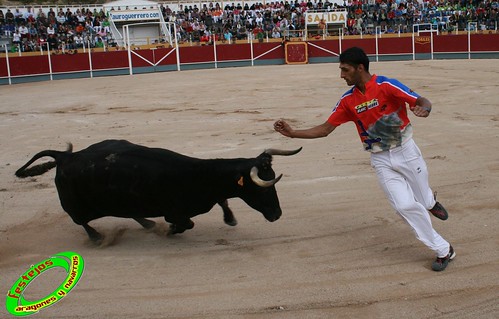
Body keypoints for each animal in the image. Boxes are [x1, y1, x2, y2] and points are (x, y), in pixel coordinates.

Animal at [15, 140, 302, 242]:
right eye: (262, 190)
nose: (277, 214)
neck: (198, 176)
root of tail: (65, 157)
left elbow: (223, 200)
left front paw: (230, 219)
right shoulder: (175, 211)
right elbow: (186, 223)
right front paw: (170, 231)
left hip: (124, 199)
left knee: (131, 212)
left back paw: (147, 223)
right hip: (76, 206)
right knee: (82, 221)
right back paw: (97, 238)